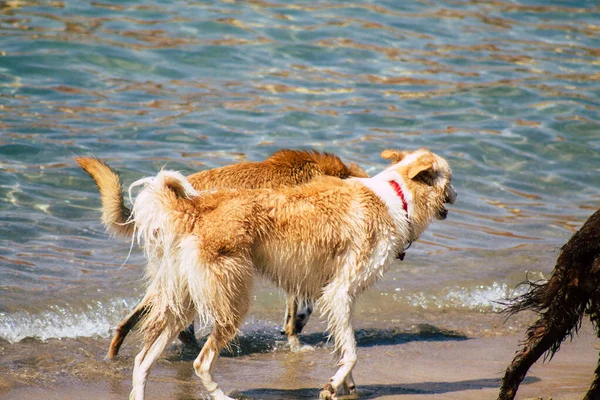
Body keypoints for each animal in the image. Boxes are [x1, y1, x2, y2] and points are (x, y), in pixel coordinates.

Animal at [118, 148, 454, 400]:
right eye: (450, 179)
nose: (456, 196)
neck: (397, 197)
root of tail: (195, 208)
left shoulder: (335, 298)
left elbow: (343, 347)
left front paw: (344, 385)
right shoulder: (340, 292)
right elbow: (352, 352)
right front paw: (333, 386)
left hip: (182, 302)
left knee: (142, 361)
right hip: (231, 301)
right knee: (201, 363)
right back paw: (223, 395)